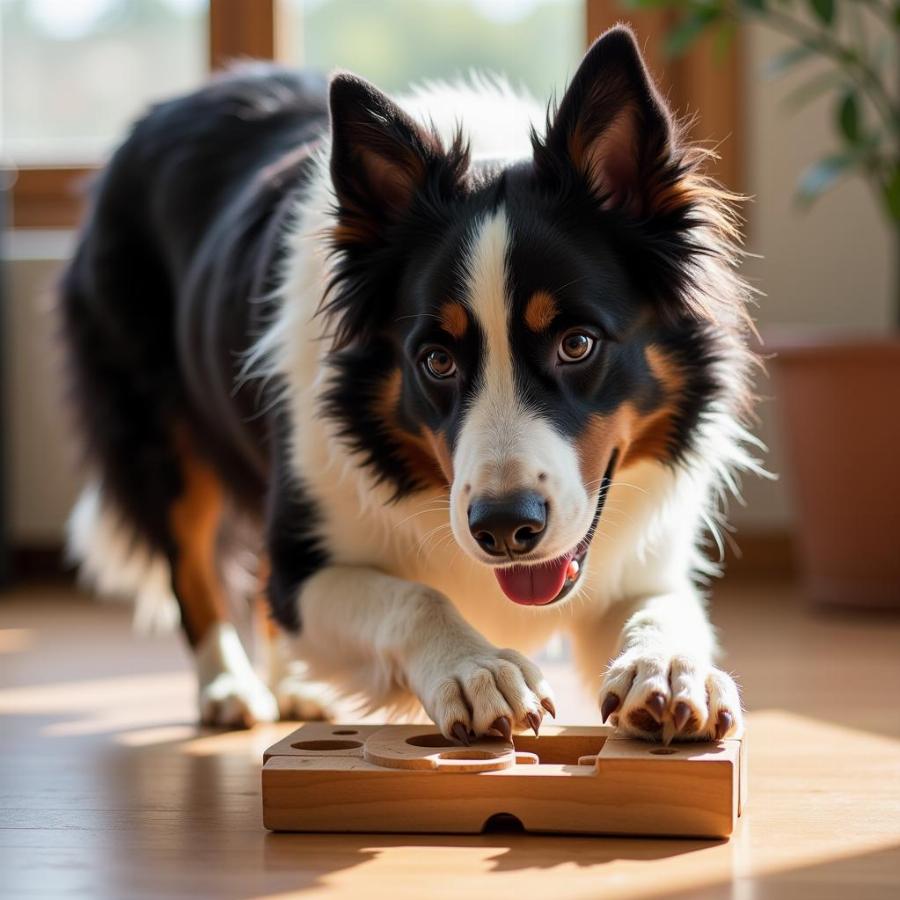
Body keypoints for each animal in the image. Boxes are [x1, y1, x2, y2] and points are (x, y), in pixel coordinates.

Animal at [59, 28, 760, 740]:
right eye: (436, 361)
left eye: (577, 344)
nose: (504, 529)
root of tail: (163, 109)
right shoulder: (308, 559)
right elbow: (412, 597)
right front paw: (474, 668)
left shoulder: (636, 564)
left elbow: (661, 608)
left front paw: (670, 667)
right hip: (160, 437)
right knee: (195, 568)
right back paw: (227, 687)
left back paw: (293, 686)